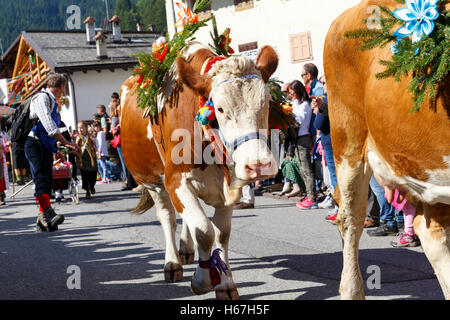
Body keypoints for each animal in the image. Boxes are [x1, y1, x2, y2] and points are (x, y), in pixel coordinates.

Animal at [118, 41, 278, 298]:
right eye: (220, 109)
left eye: (268, 103)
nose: (259, 165)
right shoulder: (175, 181)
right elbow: (204, 230)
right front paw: (202, 280)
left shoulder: (227, 184)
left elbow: (221, 232)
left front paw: (225, 283)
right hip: (152, 181)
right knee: (168, 217)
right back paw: (172, 263)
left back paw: (185, 250)